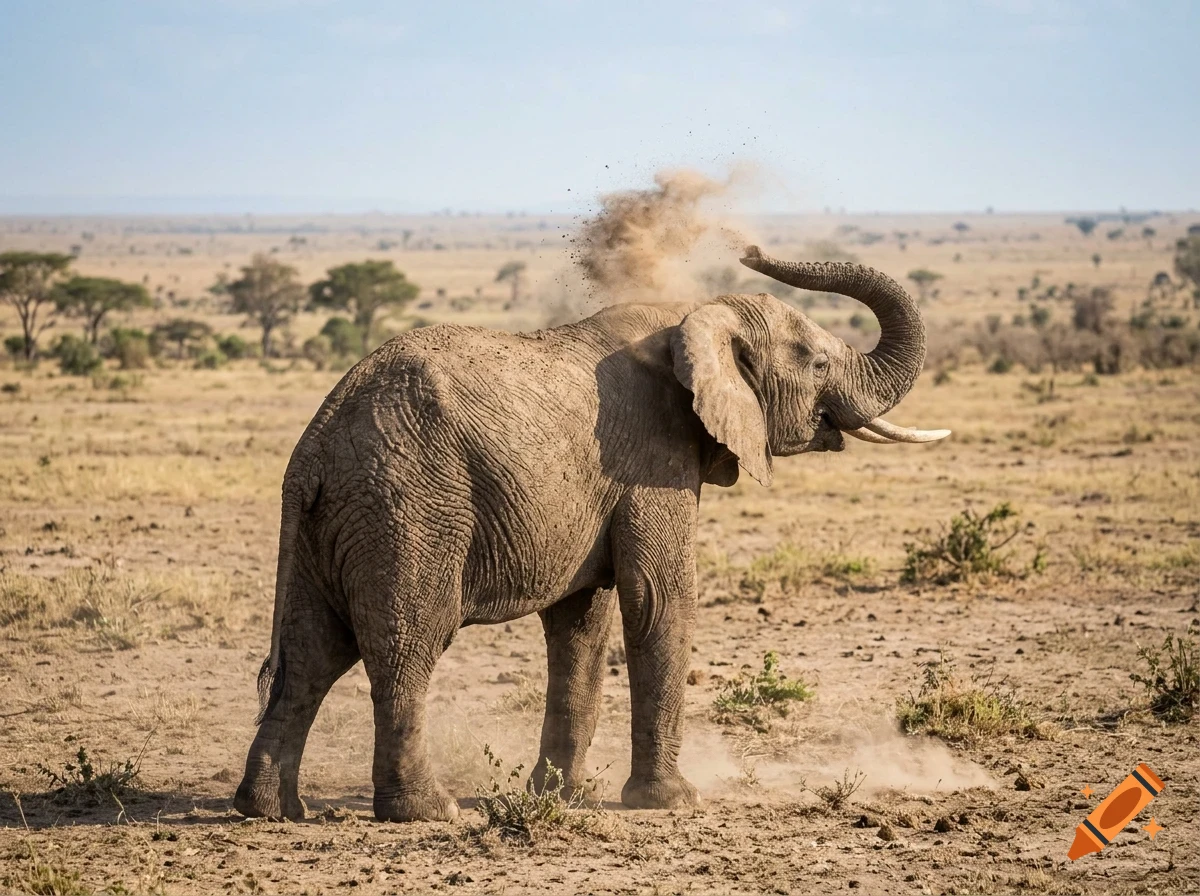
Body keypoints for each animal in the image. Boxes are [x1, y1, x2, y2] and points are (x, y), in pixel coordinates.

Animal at [234, 246, 949, 823]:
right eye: (821, 363)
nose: (750, 249)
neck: (690, 316)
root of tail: (316, 447)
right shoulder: (652, 458)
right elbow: (659, 598)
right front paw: (671, 803)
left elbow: (581, 623)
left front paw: (565, 799)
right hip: (409, 510)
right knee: (406, 646)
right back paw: (428, 813)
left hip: (336, 522)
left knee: (311, 653)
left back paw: (269, 811)